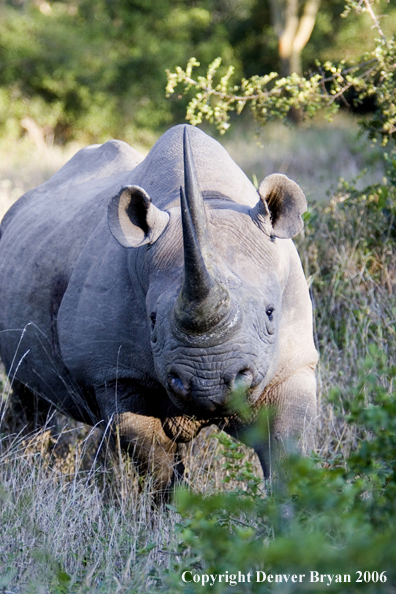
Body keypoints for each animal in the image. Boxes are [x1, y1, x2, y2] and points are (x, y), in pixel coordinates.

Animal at [0, 123, 318, 486]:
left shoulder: (293, 365)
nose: (208, 385)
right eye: (151, 320)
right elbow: (156, 465)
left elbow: (288, 450)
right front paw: (172, 502)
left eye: (270, 313)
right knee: (29, 398)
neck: (209, 199)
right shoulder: (116, 374)